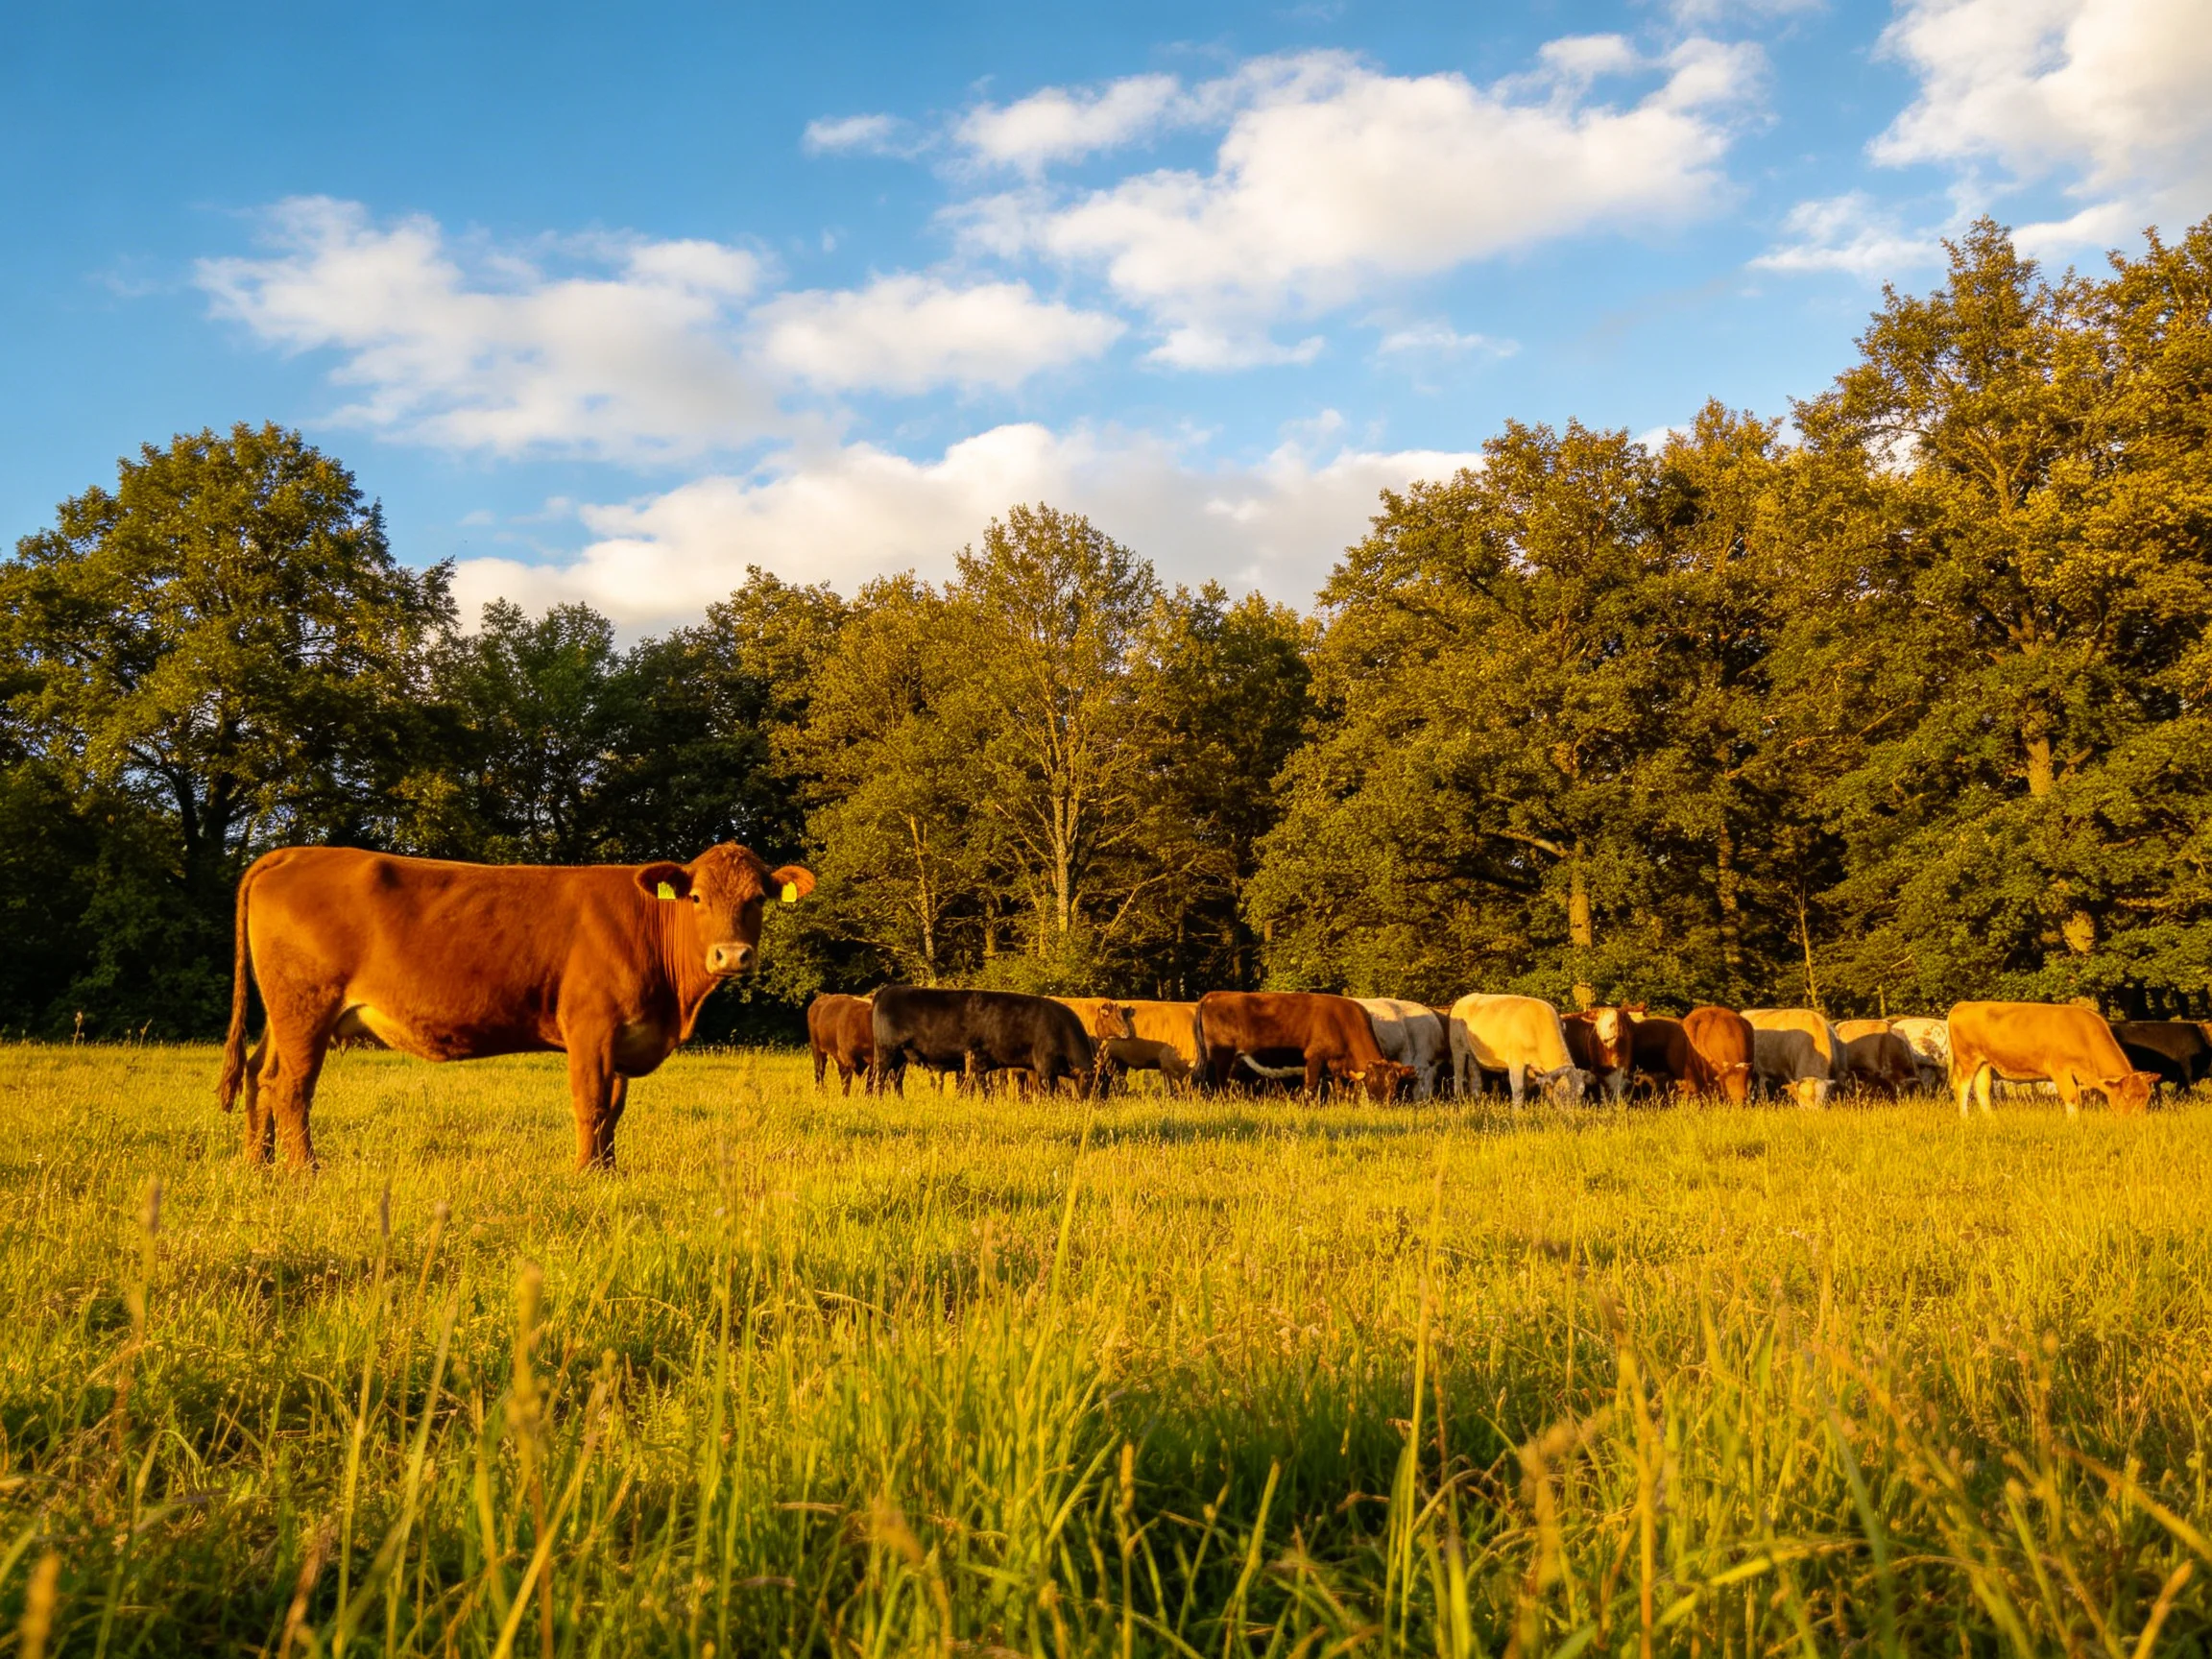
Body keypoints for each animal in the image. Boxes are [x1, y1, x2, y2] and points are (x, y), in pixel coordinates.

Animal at [216, 843, 815, 1171]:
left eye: (757, 899)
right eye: (696, 898)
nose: (731, 955)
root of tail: (299, 852)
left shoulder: (625, 1035)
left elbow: (614, 1109)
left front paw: (610, 1171)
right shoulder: (590, 1027)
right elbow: (591, 1105)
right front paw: (586, 1174)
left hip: (283, 1013)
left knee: (259, 1074)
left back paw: (258, 1164)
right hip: (306, 1006)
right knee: (291, 1087)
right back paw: (305, 1171)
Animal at [872, 987, 1095, 1097]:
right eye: (1090, 1081)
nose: (1090, 1101)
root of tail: (886, 990)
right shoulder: (1045, 1066)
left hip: (900, 1057)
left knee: (896, 1081)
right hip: (886, 1051)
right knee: (880, 1078)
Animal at [1196, 992, 1415, 1102]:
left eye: (1393, 1087)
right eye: (1371, 1085)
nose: (1381, 1105)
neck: (1344, 1022)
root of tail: (1212, 995)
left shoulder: (1336, 1067)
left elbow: (1340, 1091)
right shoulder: (1314, 1058)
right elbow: (1310, 1089)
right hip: (1221, 1056)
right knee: (1216, 1084)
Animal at [1448, 994, 1585, 1108]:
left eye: (1579, 1096)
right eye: (1562, 1094)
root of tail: (1464, 999)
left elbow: (1527, 1088)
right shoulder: (1516, 1061)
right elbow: (1518, 1089)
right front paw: (1516, 1113)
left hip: (1473, 1053)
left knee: (1475, 1076)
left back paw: (1476, 1099)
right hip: (1457, 1046)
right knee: (1458, 1073)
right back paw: (1459, 1099)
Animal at [1947, 1001, 2160, 1116]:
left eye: (2146, 1097)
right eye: (2126, 1097)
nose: (2135, 1121)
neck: (2083, 1033)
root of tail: (1965, 1004)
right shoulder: (2060, 1069)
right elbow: (2071, 1097)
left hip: (1984, 1062)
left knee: (1982, 1089)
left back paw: (1991, 1120)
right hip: (1967, 1059)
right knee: (1962, 1087)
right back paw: (1965, 1119)